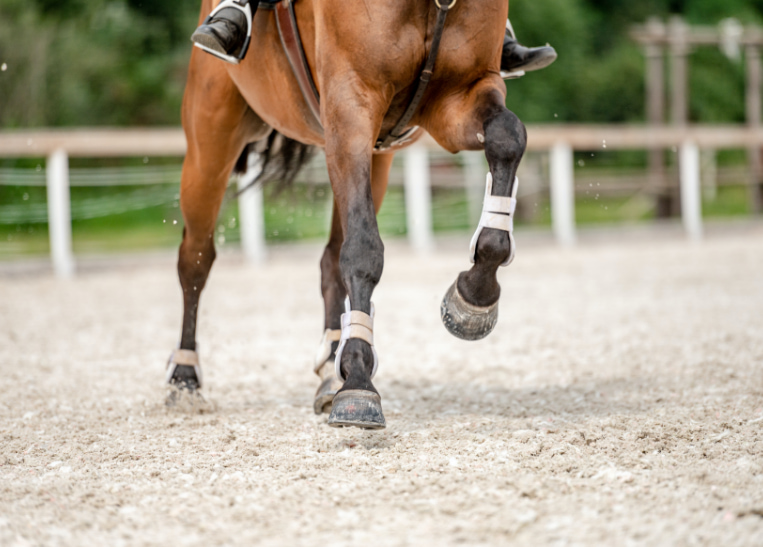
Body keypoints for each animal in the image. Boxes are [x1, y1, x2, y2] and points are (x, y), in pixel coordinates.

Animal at [167, 0, 527, 429]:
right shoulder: (350, 104)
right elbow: (363, 250)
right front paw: (358, 381)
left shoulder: (460, 94)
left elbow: (508, 135)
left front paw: (473, 297)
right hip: (210, 144)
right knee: (195, 260)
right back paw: (184, 378)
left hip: (372, 157)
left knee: (328, 259)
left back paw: (329, 369)